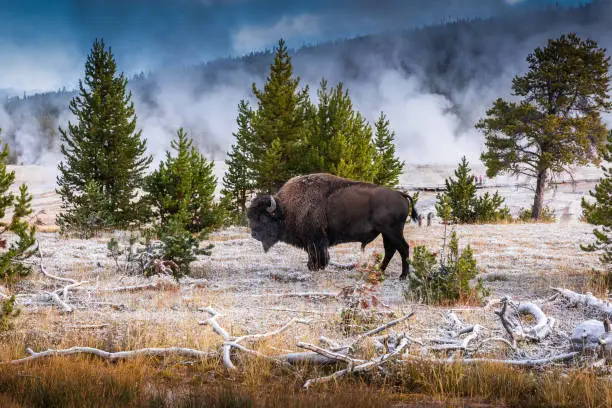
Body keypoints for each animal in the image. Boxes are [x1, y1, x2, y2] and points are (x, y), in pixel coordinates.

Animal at [246, 172, 418, 280]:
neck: (286, 209)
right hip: (386, 233)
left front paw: (316, 267)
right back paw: (379, 271)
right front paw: (313, 266)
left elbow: (318, 255)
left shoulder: (316, 240)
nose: (254, 234)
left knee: (403, 248)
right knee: (390, 250)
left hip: (392, 231)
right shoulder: (311, 241)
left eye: (263, 217)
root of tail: (400, 194)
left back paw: (402, 276)